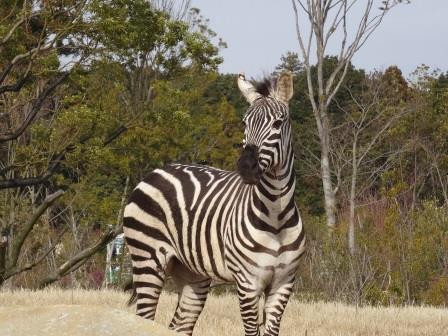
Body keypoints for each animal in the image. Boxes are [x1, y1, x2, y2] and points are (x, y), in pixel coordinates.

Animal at [122, 71, 304, 336]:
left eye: (278, 124)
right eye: (244, 123)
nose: (246, 167)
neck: (275, 216)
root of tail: (156, 171)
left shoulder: (283, 284)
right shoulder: (247, 282)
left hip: (191, 273)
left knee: (179, 325)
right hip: (147, 258)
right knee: (144, 316)